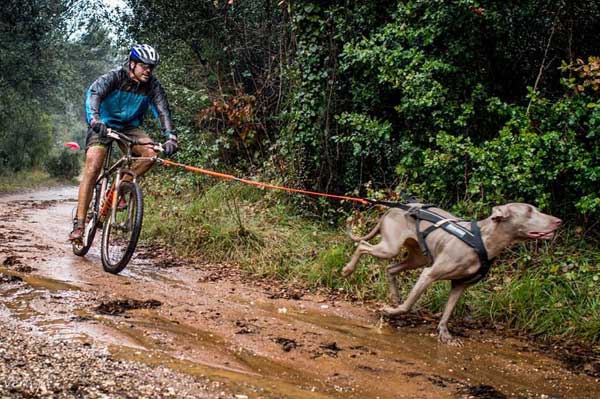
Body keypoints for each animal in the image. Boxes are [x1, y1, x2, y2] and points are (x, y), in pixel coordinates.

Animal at [342, 205, 564, 346]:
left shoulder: (459, 285)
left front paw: (444, 333)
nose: (559, 220)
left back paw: (395, 297)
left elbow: (448, 310)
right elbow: (409, 305)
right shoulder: (429, 274)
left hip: (417, 257)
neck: (483, 241)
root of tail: (392, 208)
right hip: (391, 247)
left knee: (390, 269)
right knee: (363, 246)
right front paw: (390, 312)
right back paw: (348, 269)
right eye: (529, 211)